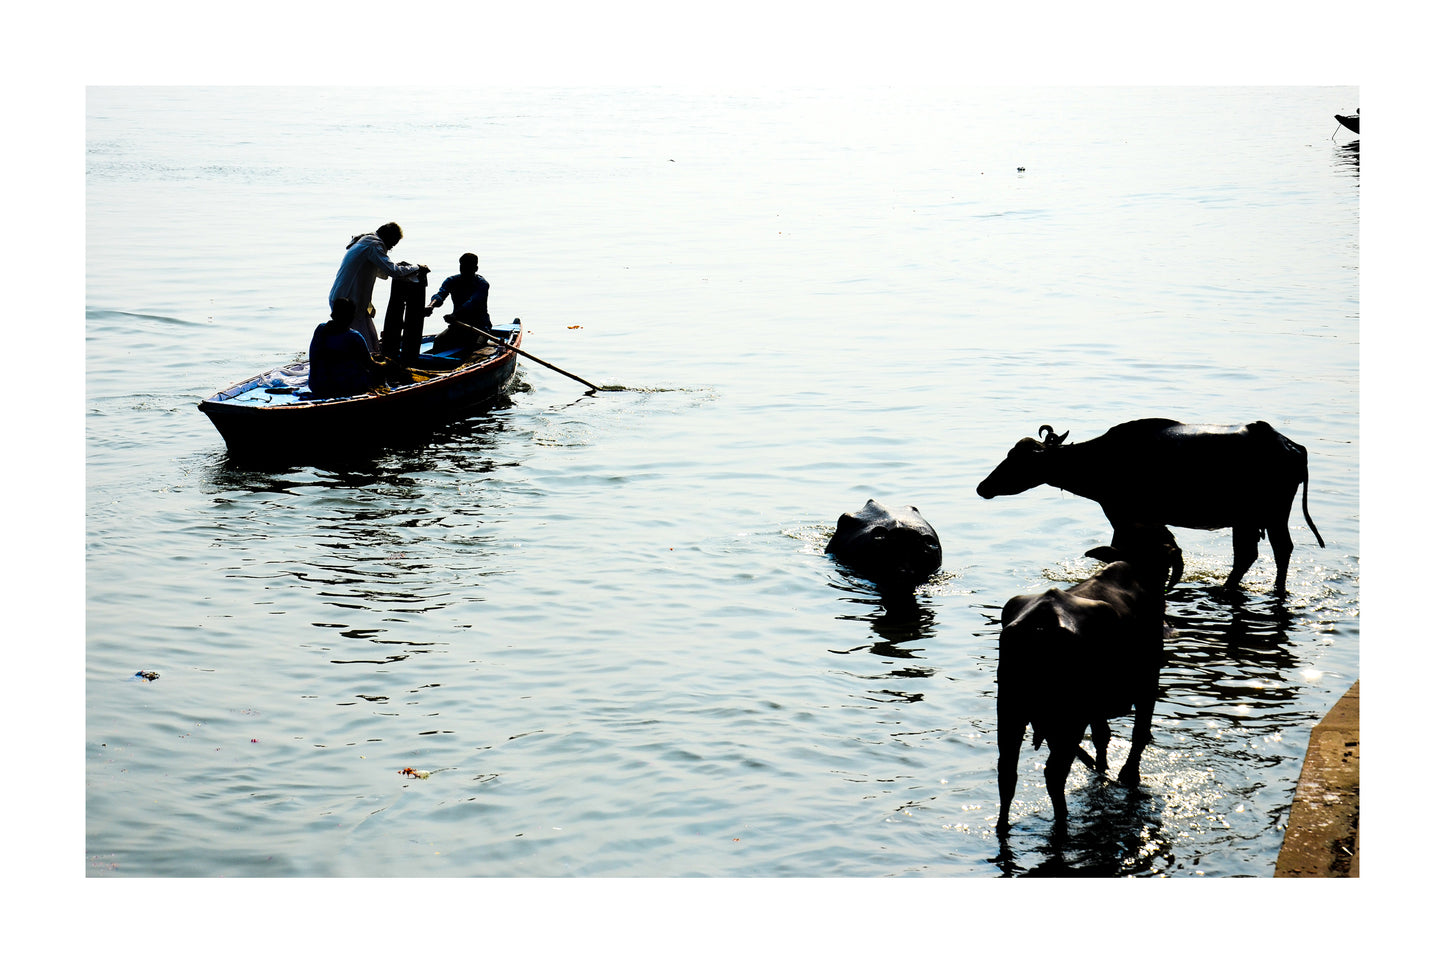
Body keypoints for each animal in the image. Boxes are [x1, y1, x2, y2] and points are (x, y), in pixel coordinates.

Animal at [976, 422, 1323, 595]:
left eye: (1020, 459)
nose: (983, 487)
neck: (1098, 460)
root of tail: (1291, 446)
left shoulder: (1122, 515)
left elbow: (1119, 549)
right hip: (1250, 519)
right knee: (1250, 554)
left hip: (1269, 516)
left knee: (1276, 550)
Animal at [994, 526, 1184, 832]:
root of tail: (1040, 623)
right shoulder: (1148, 683)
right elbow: (1139, 732)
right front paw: (1129, 775)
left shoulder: (1096, 709)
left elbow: (1102, 736)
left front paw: (1103, 768)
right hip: (1068, 717)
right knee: (1054, 773)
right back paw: (1062, 822)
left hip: (1011, 710)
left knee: (1007, 771)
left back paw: (1004, 825)